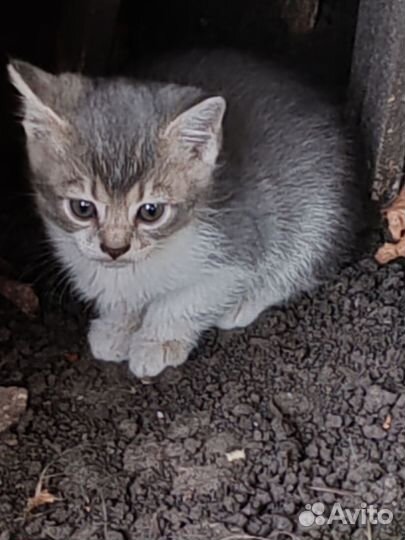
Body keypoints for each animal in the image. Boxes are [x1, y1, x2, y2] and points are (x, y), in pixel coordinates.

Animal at [7, 52, 366, 378]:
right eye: (82, 208)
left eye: (151, 211)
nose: (114, 248)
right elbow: (121, 300)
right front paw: (117, 328)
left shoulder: (240, 241)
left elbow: (185, 301)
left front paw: (157, 342)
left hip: (319, 210)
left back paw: (245, 304)